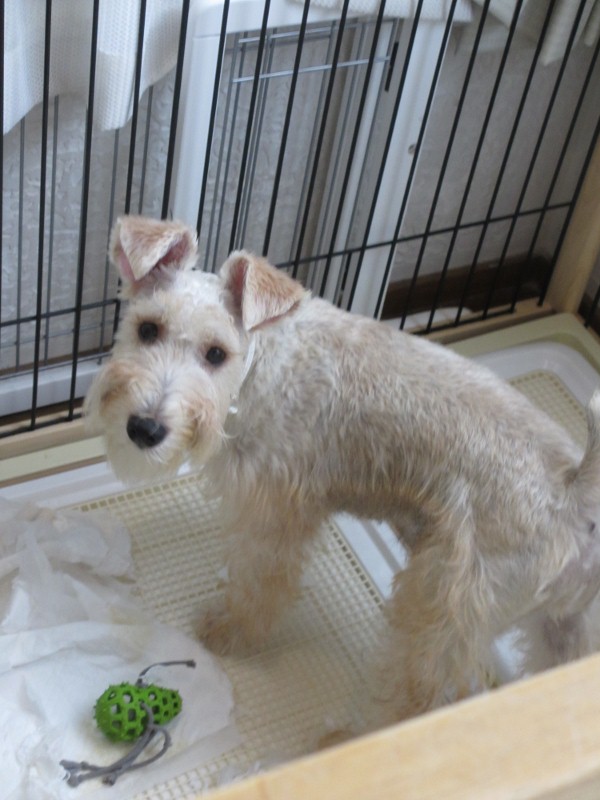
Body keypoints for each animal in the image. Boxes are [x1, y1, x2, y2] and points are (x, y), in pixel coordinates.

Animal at [85, 214, 600, 722]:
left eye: (216, 354)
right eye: (147, 329)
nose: (145, 428)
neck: (261, 366)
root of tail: (574, 491)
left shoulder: (274, 516)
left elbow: (257, 585)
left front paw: (228, 630)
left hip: (438, 609)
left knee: (418, 699)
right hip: (561, 625)